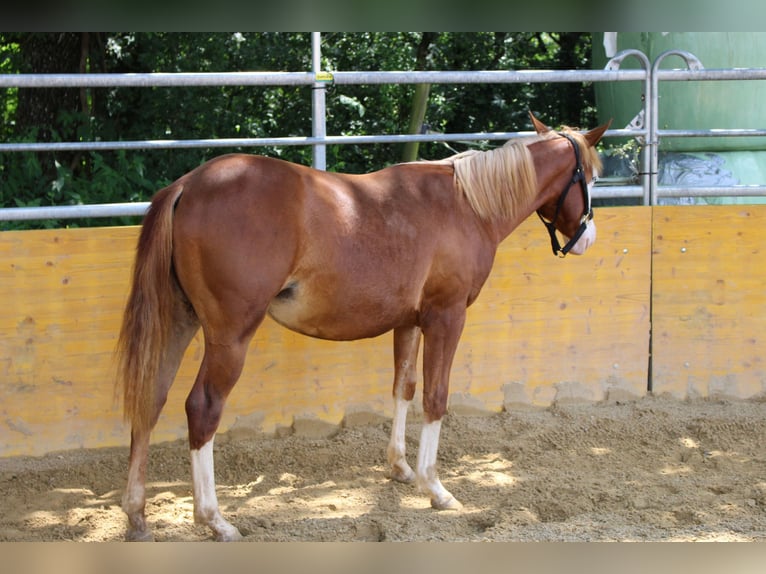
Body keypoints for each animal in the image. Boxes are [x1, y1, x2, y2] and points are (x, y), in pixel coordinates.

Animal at [115, 113, 608, 544]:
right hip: (229, 336)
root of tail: (187, 185)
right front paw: (435, 488)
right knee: (202, 409)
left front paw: (401, 468)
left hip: (180, 322)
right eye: (590, 177)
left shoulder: (410, 322)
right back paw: (215, 520)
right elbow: (436, 396)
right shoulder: (447, 317)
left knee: (149, 400)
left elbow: (404, 388)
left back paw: (137, 516)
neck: (467, 204)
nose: (586, 239)